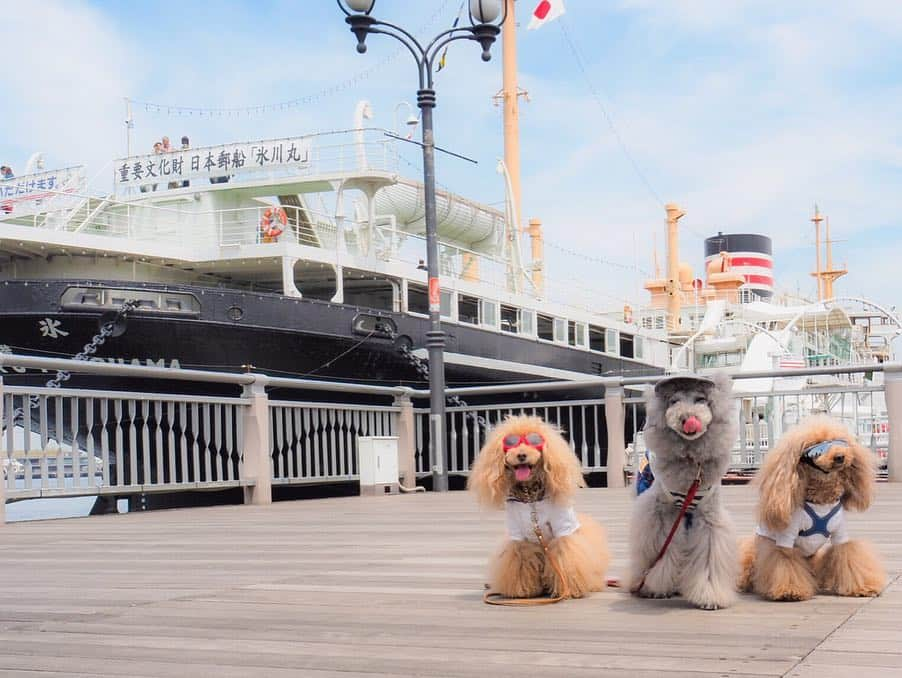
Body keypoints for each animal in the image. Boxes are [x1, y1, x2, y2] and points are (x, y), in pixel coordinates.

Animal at [470, 414, 612, 600]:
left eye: (534, 441)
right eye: (511, 443)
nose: (521, 455)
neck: (531, 498)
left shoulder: (562, 530)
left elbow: (564, 559)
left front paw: (567, 589)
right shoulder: (518, 536)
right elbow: (520, 561)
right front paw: (523, 590)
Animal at [744, 418, 888, 604]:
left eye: (839, 442)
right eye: (816, 448)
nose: (840, 457)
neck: (821, 501)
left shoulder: (840, 533)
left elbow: (848, 556)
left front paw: (863, 587)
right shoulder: (786, 539)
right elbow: (786, 562)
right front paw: (790, 591)